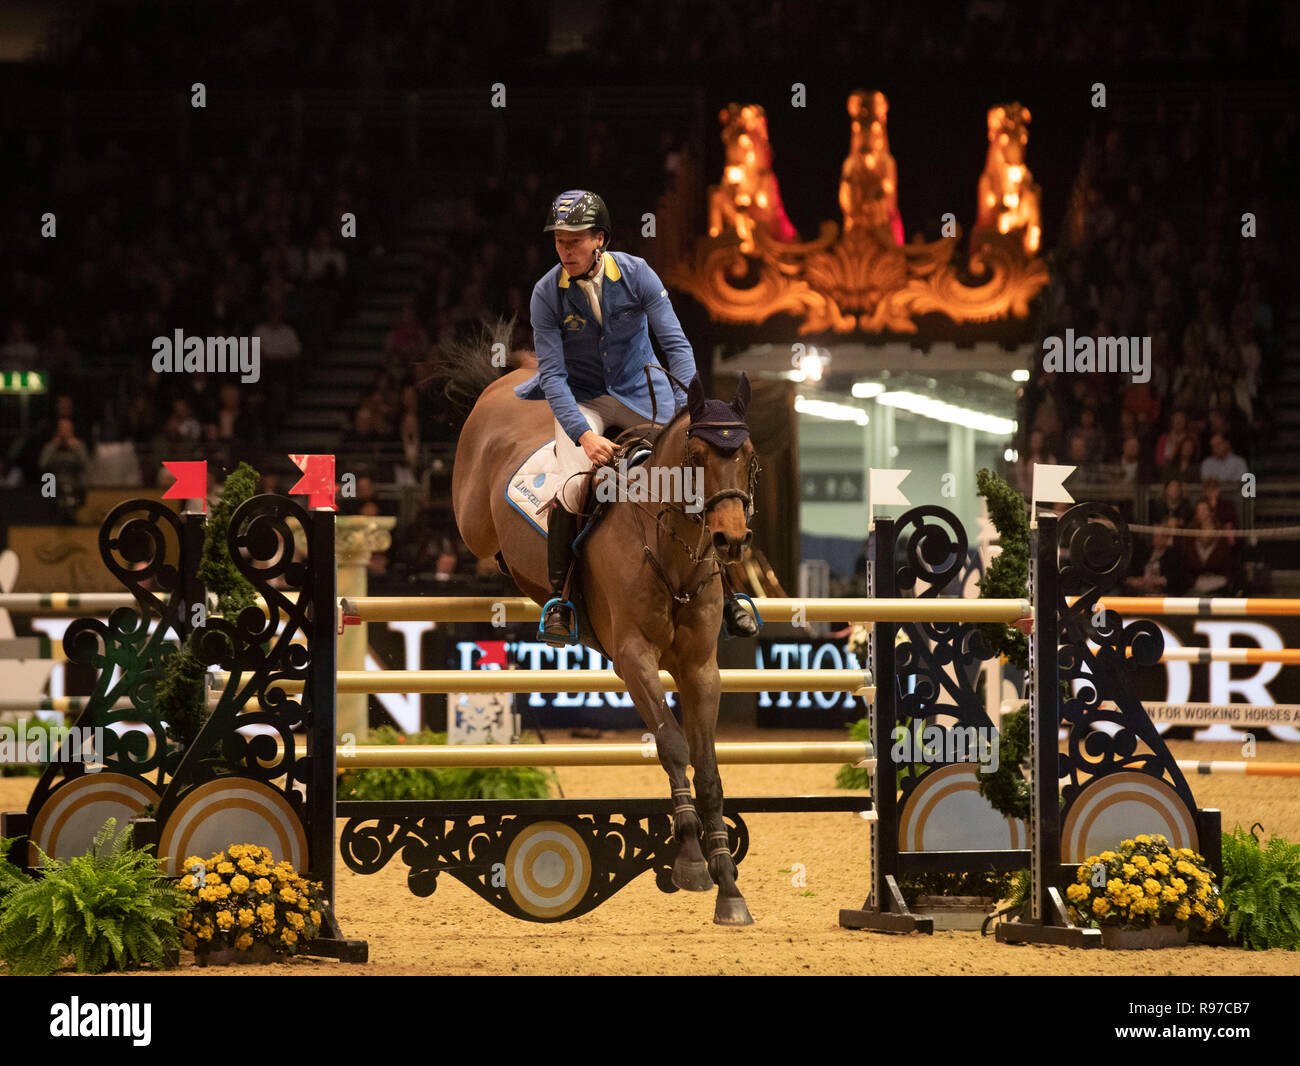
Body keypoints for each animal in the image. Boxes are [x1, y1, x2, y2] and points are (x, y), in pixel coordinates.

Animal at [444, 331, 759, 925]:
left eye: (748, 455)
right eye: (698, 457)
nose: (730, 540)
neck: (670, 553)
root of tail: (508, 380)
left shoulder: (700, 669)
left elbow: (707, 768)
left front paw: (728, 884)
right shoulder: (633, 658)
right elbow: (673, 745)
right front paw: (690, 860)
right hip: (472, 516)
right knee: (482, 535)